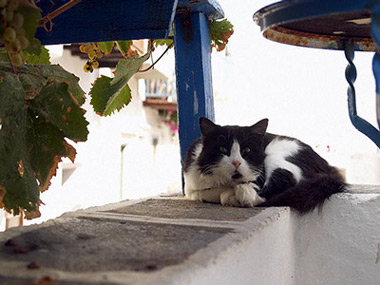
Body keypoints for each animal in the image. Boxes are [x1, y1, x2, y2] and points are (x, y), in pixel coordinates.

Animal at [183, 117, 346, 213]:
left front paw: (238, 193)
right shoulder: (191, 186)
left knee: (285, 181)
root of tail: (328, 166)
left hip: (275, 153)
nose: (236, 162)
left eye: (247, 150)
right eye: (223, 149)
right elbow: (202, 192)